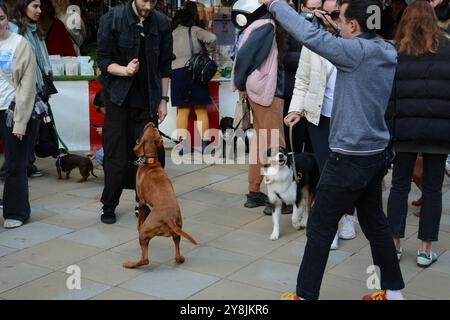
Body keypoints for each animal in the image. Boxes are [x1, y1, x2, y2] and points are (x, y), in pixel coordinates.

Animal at [122, 121, 198, 268]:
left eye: (151, 128)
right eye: (156, 130)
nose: (152, 122)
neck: (150, 161)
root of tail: (169, 219)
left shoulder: (142, 201)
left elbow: (139, 223)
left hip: (146, 231)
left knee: (145, 259)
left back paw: (131, 264)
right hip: (177, 231)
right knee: (177, 253)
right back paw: (180, 259)